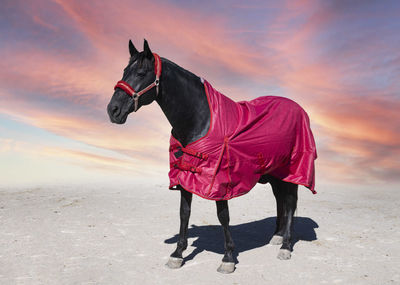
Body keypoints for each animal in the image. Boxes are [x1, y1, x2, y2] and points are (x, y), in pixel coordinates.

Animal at [108, 40, 300, 272]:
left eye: (141, 72)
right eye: (124, 71)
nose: (113, 110)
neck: (200, 120)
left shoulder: (219, 182)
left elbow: (223, 216)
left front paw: (228, 257)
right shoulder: (184, 175)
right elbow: (184, 212)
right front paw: (177, 254)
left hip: (292, 172)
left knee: (290, 202)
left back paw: (286, 246)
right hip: (274, 174)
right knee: (281, 200)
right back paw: (277, 237)